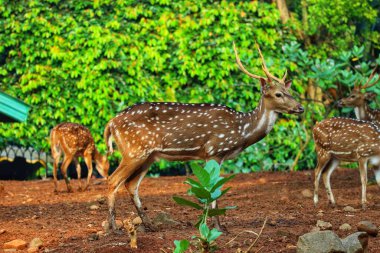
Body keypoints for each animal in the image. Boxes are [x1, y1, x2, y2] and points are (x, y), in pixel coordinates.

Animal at [102, 42, 304, 232]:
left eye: (290, 92)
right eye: (278, 94)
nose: (300, 107)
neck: (242, 130)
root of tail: (111, 123)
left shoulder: (212, 155)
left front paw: (209, 224)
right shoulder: (215, 150)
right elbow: (214, 189)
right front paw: (217, 227)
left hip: (149, 156)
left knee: (131, 184)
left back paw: (150, 225)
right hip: (134, 150)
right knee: (112, 180)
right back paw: (114, 227)